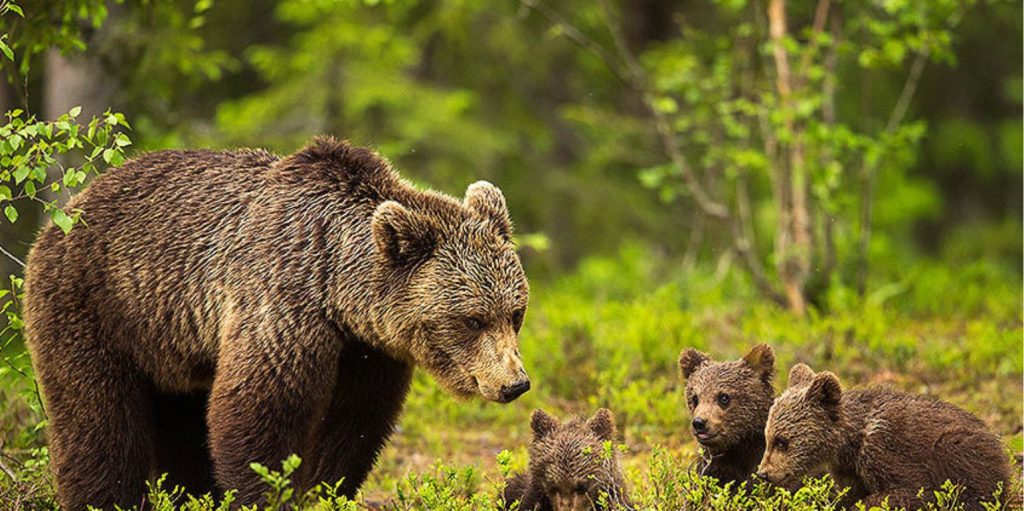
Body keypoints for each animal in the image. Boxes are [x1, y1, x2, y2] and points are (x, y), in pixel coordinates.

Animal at [23, 137, 532, 511]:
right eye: (472, 319)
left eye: (515, 313)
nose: (515, 383)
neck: (337, 288)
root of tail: (64, 212)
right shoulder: (283, 304)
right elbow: (259, 412)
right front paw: (263, 493)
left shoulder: (368, 351)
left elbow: (351, 426)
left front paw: (324, 493)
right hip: (94, 308)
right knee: (99, 423)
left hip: (172, 347)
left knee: (182, 428)